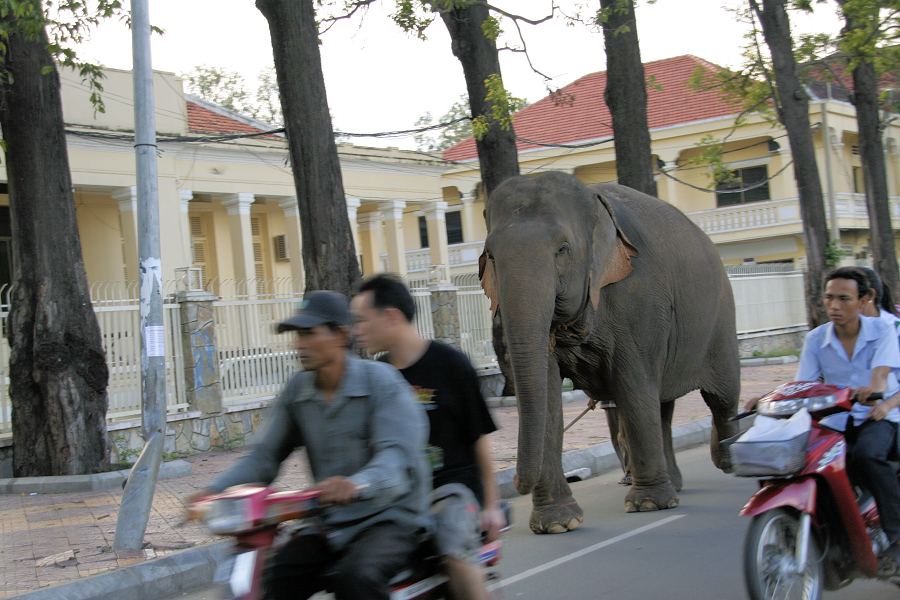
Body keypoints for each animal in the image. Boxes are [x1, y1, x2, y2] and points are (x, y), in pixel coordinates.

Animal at [482, 171, 740, 532]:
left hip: (721, 318)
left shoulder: (639, 296)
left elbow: (633, 384)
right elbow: (547, 394)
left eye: (562, 249)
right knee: (663, 405)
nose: (515, 484)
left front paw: (647, 505)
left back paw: (728, 461)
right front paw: (556, 523)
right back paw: (674, 485)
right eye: (490, 255)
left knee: (722, 396)